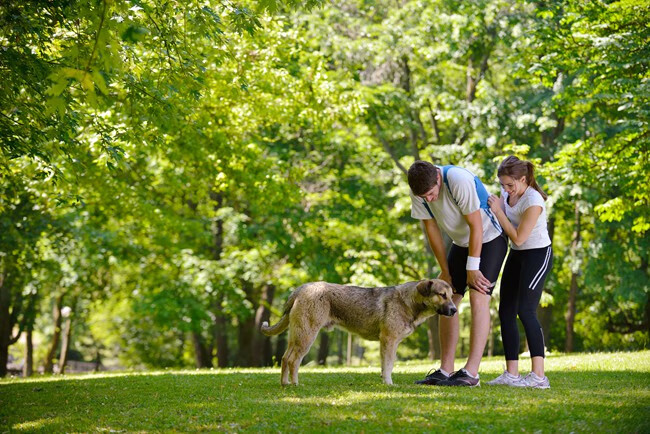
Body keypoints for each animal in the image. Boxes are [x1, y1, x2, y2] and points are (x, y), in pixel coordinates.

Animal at [260, 280, 456, 384]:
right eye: (442, 295)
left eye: (451, 295)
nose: (455, 310)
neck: (409, 302)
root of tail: (302, 288)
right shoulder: (389, 340)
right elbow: (388, 366)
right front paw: (389, 384)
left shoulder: (389, 343)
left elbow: (386, 366)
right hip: (307, 336)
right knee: (293, 360)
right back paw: (295, 384)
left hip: (296, 336)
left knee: (285, 358)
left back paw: (285, 383)